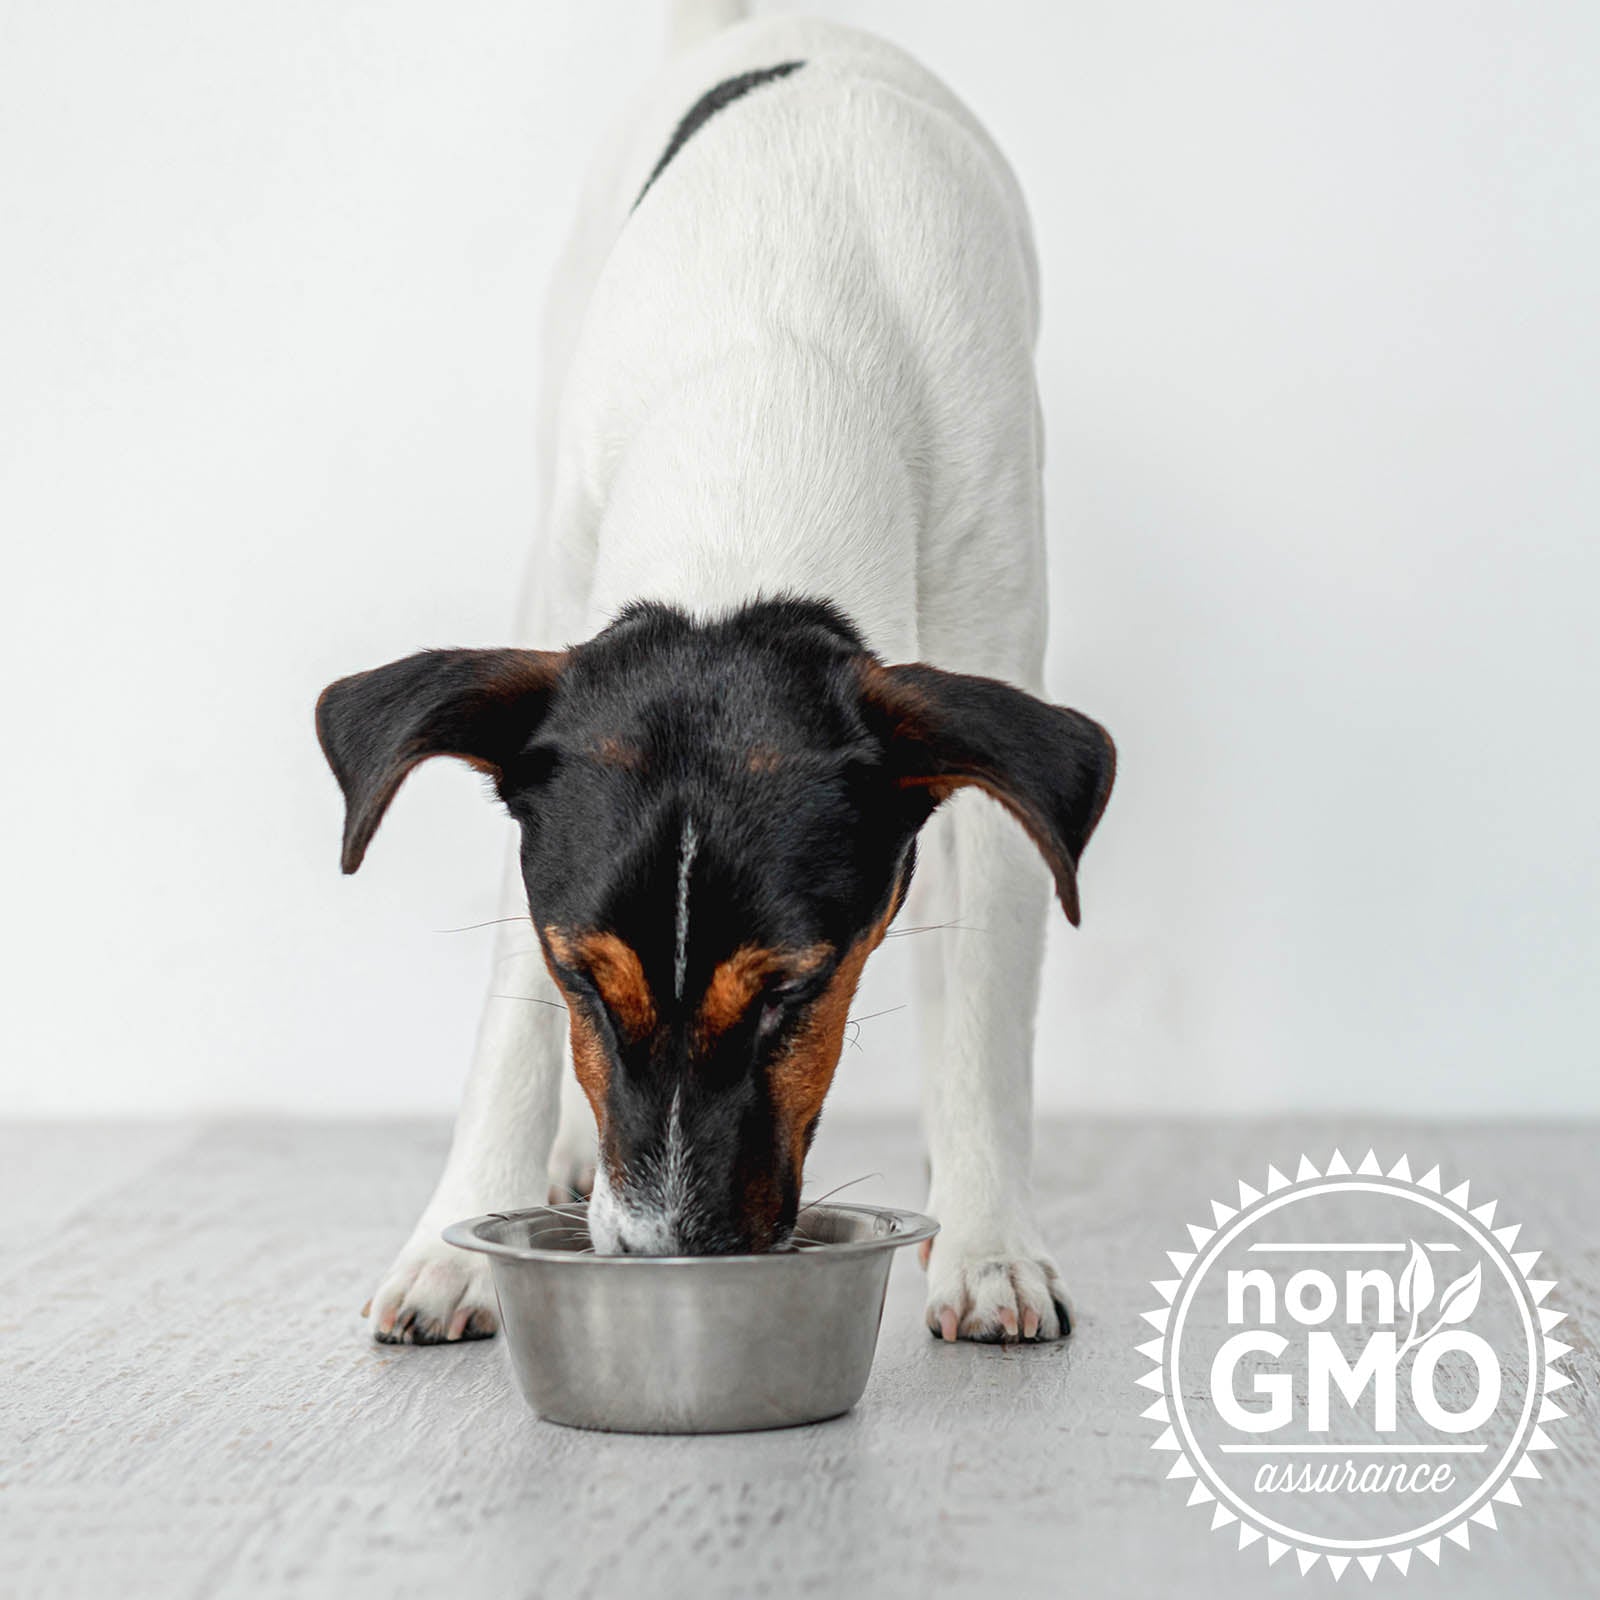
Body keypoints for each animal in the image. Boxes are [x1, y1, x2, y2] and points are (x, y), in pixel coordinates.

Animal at [312, 0, 1113, 1350]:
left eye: (795, 991)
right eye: (582, 977)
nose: (662, 1253)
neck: (771, 402)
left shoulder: (989, 686)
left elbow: (985, 999)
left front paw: (990, 1240)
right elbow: (509, 1020)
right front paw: (452, 1234)